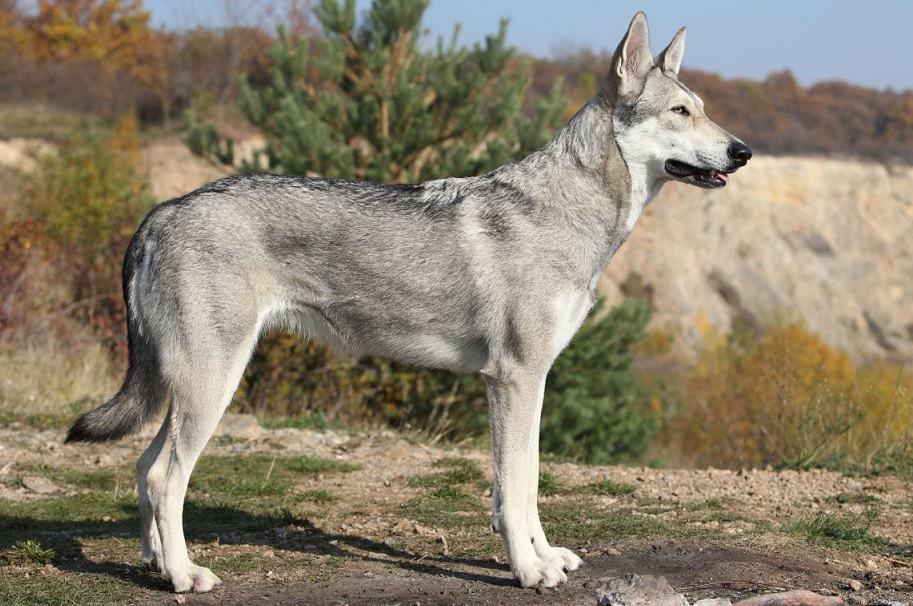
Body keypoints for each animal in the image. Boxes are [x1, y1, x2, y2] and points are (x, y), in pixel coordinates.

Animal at [66, 11, 751, 592]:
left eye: (704, 110)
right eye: (681, 111)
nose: (742, 151)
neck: (568, 213)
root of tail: (162, 210)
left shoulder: (533, 382)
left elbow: (528, 484)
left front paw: (546, 556)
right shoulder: (514, 380)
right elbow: (514, 490)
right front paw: (529, 571)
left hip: (188, 391)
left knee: (143, 469)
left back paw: (156, 563)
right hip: (212, 386)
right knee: (163, 476)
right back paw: (185, 576)